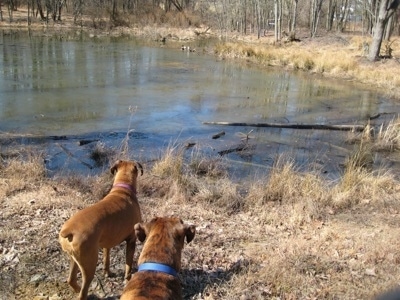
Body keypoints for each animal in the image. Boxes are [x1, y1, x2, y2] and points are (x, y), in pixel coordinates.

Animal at [59, 161, 144, 298]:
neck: (123, 189)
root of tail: (68, 230)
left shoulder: (107, 243)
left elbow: (106, 259)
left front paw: (107, 273)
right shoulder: (131, 240)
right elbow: (128, 265)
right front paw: (127, 280)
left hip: (74, 259)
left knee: (71, 280)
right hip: (89, 265)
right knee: (83, 291)